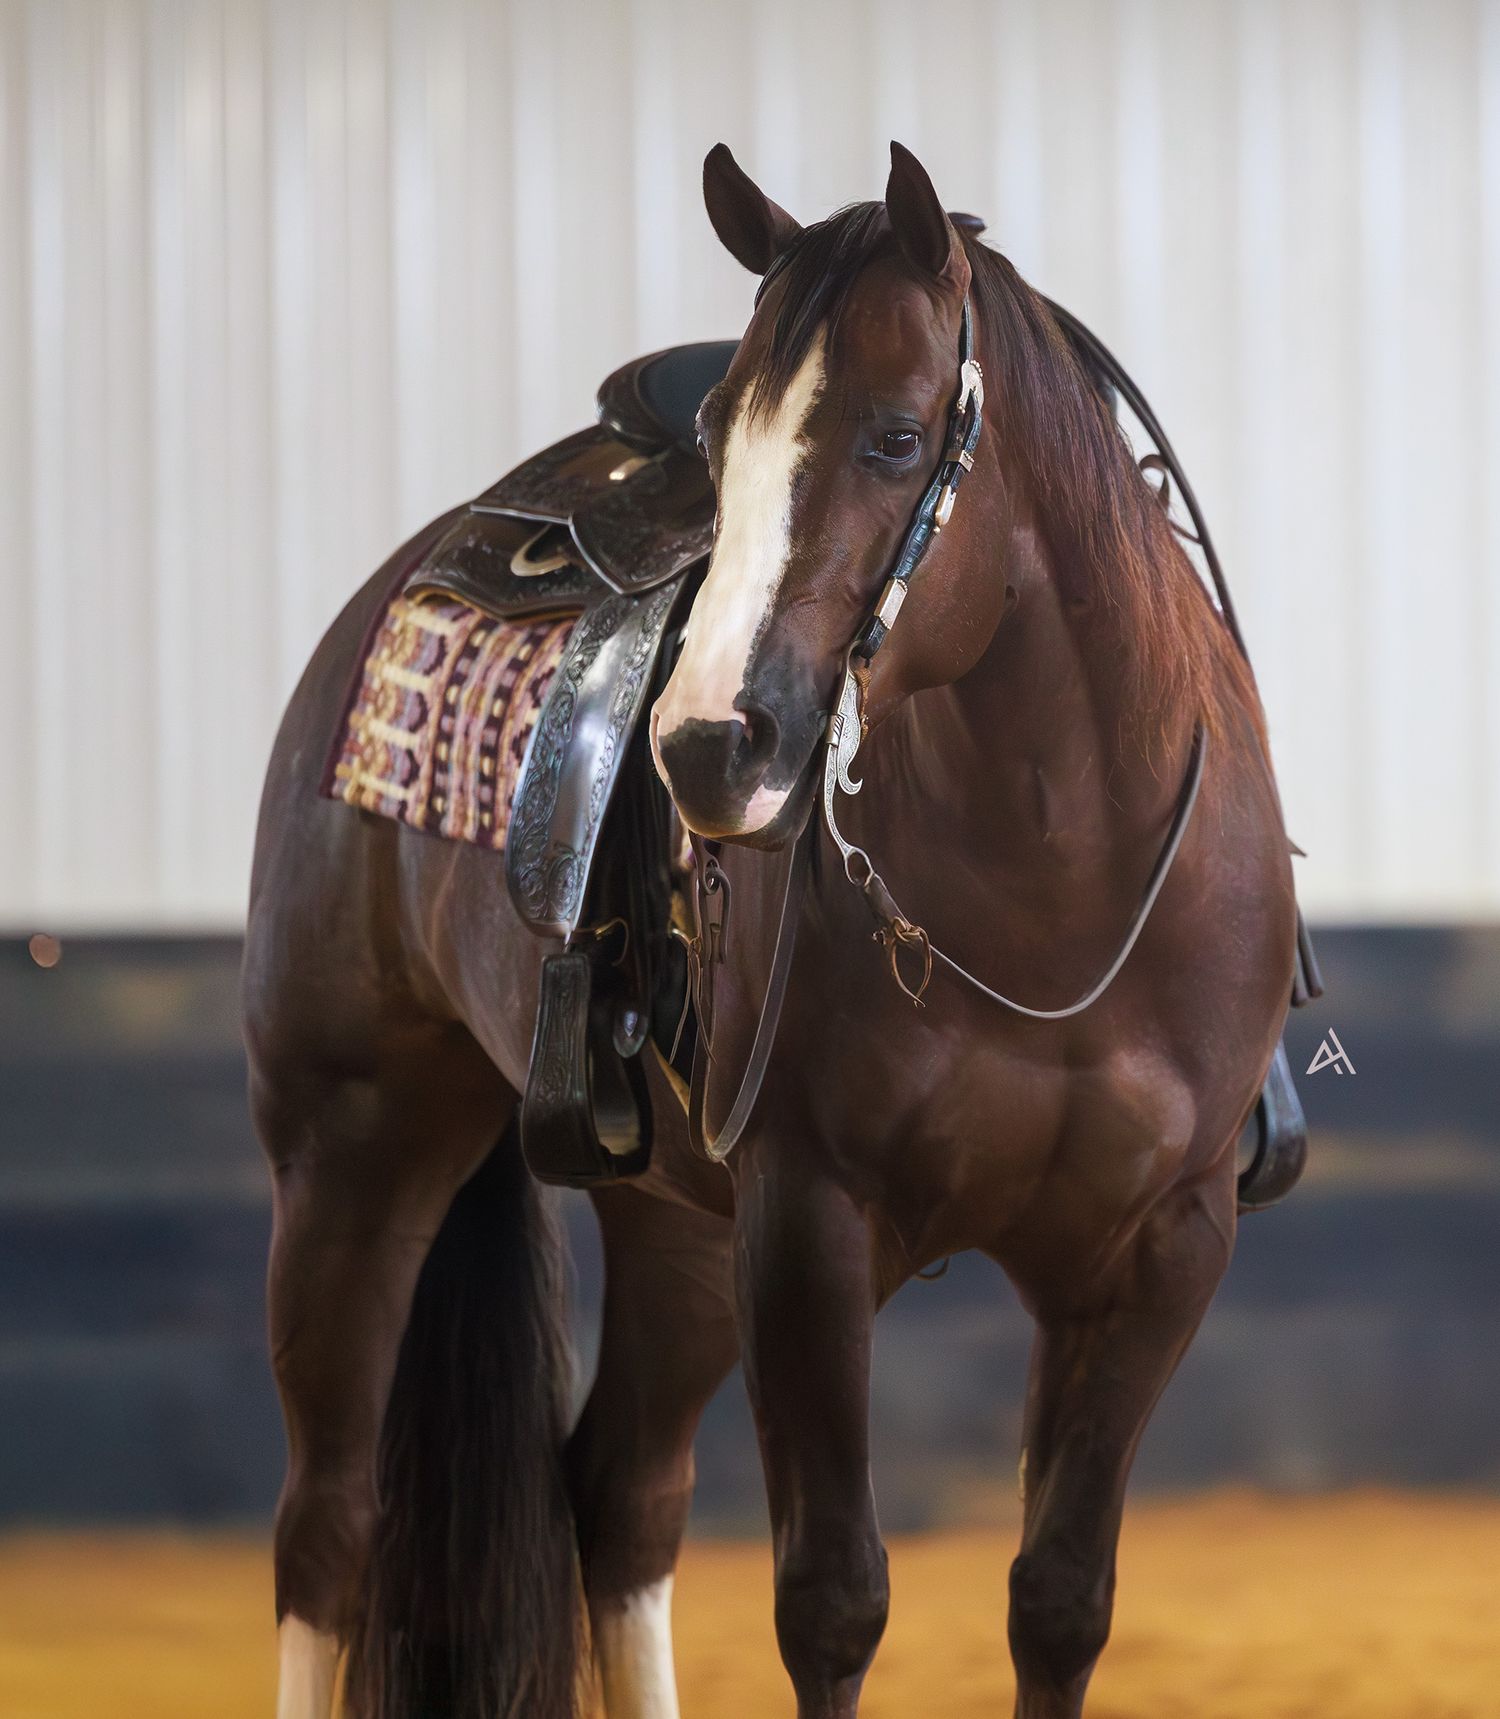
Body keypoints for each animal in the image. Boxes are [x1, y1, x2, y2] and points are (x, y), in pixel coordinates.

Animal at [244, 141, 1298, 1719]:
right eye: (723, 439)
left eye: (898, 436)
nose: (704, 747)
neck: (1062, 898)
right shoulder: (811, 1222)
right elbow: (835, 1601)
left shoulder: (1157, 1249)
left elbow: (1060, 1600)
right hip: (351, 1146)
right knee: (328, 1527)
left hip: (676, 1225)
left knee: (622, 1502)